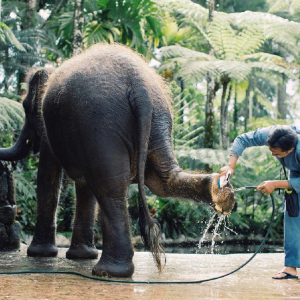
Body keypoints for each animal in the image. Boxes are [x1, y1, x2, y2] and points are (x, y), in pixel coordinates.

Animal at [0, 43, 234, 278]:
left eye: (25, 106)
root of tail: (140, 87)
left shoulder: (49, 127)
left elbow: (48, 177)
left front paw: (40, 254)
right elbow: (81, 184)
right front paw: (81, 256)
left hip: (101, 124)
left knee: (110, 188)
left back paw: (108, 272)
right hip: (158, 120)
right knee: (161, 180)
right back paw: (220, 191)